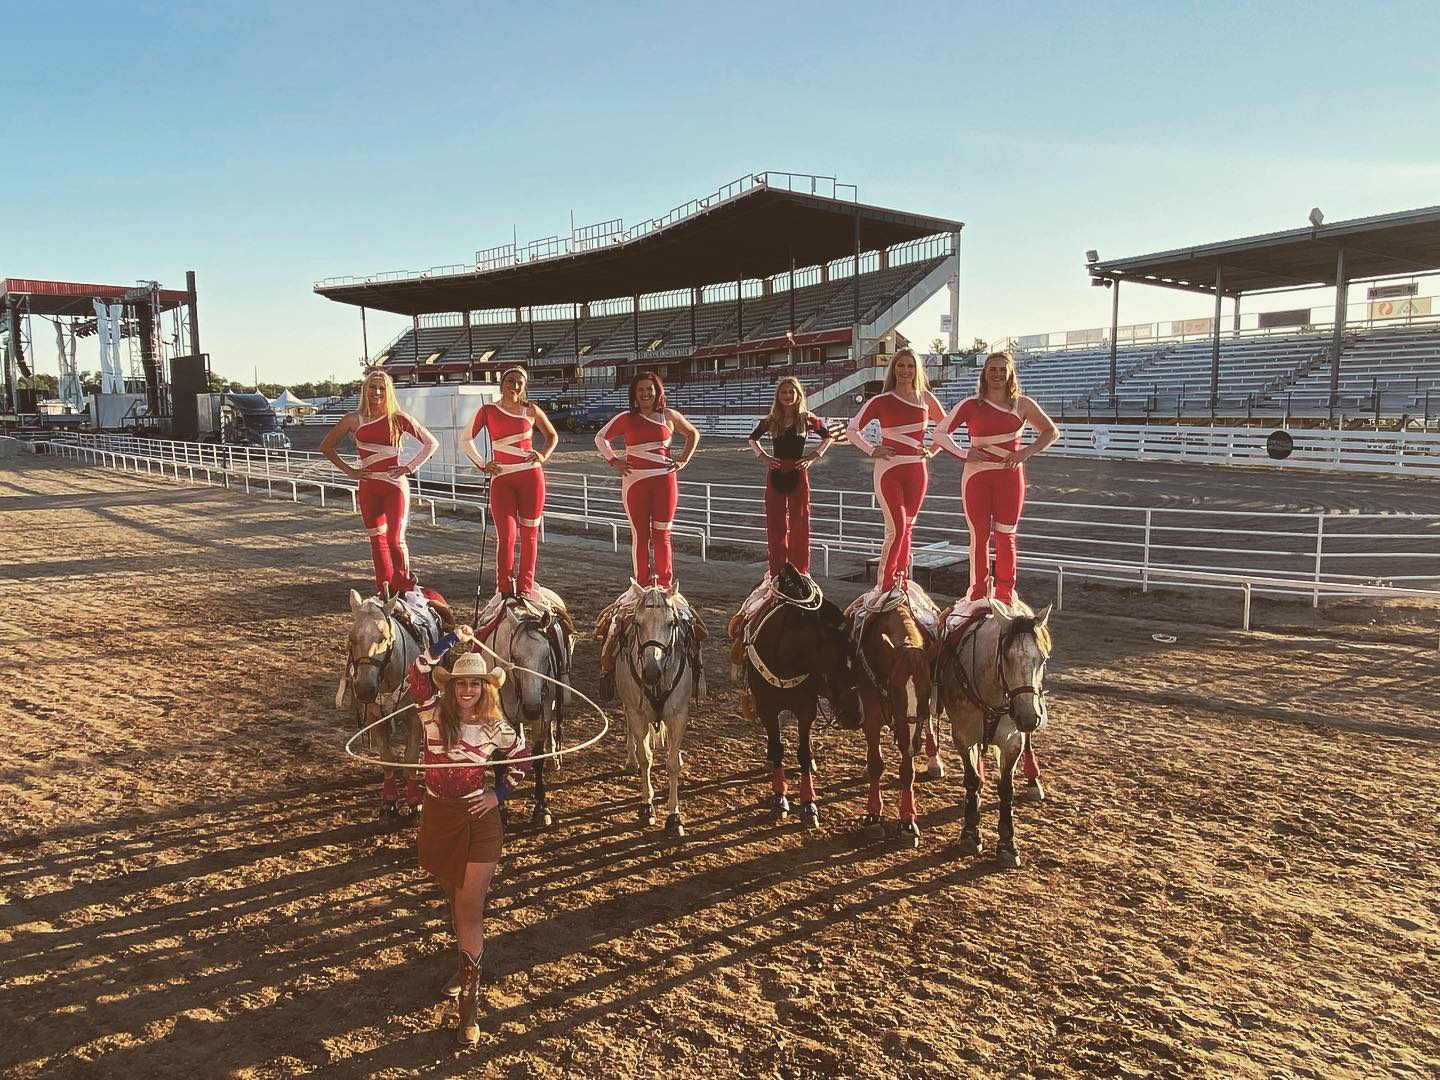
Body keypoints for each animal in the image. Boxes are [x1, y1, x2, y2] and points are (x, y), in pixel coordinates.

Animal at [345, 593, 429, 817]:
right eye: (351, 638)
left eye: (382, 637)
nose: (365, 689)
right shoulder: (374, 719)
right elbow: (386, 757)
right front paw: (389, 800)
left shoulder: (414, 717)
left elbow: (410, 757)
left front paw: (414, 801)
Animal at [483, 596, 573, 835]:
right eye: (514, 657)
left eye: (546, 656)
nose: (531, 709)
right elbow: (500, 761)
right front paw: (501, 810)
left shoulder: (543, 714)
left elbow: (538, 758)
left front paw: (541, 808)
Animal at [616, 587, 699, 840]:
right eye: (637, 622)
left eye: (671, 623)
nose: (651, 672)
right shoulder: (637, 714)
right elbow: (646, 758)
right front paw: (646, 805)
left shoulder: (678, 716)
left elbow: (672, 764)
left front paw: (674, 816)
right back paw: (630, 759)